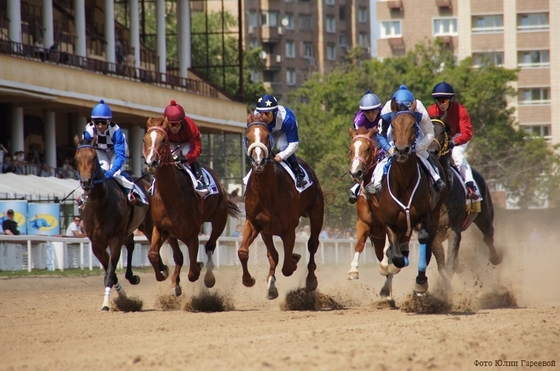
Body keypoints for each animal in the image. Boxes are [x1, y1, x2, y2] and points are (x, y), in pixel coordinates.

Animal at [74, 138, 154, 310]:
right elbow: (110, 272)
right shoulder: (96, 244)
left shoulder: (115, 240)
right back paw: (132, 276)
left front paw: (105, 304)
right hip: (128, 230)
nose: (86, 182)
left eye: (93, 157)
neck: (100, 204)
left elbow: (110, 274)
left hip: (148, 226)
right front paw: (123, 296)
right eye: (76, 159)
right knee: (130, 245)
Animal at [141, 116, 240, 296]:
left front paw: (197, 269)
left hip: (219, 220)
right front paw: (169, 278)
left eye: (164, 140)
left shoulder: (193, 233)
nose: (151, 162)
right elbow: (155, 254)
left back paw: (208, 276)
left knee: (209, 246)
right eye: (145, 139)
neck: (171, 195)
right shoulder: (162, 230)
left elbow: (193, 271)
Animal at [240, 113, 324, 300]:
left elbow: (287, 267)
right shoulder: (256, 224)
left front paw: (294, 260)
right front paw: (250, 281)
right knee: (274, 255)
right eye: (247, 138)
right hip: (268, 231)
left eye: (266, 137)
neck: (267, 192)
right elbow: (245, 252)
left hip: (317, 213)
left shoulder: (289, 228)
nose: (258, 162)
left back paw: (311, 279)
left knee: (312, 244)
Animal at [378, 109, 448, 298]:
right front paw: (393, 264)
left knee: (428, 246)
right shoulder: (389, 221)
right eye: (392, 125)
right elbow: (395, 254)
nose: (402, 150)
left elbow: (424, 239)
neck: (403, 182)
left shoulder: (426, 215)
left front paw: (420, 282)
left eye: (413, 126)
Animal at [428, 117, 504, 278]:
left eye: (442, 131)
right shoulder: (435, 234)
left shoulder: (454, 228)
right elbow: (442, 266)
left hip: (485, 215)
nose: (431, 151)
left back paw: (495, 258)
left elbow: (448, 265)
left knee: (488, 236)